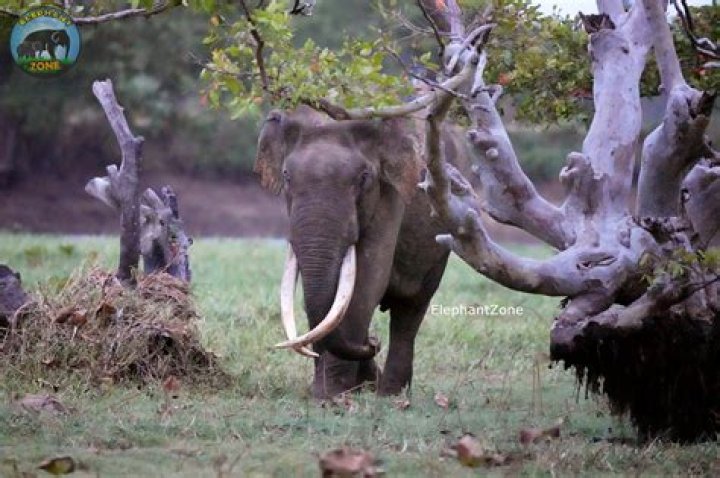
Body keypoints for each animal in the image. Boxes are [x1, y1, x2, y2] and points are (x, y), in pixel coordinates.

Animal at [256, 107, 474, 398]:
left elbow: (369, 278)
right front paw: (328, 391)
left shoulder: (390, 194)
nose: (373, 342)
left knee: (410, 309)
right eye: (287, 176)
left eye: (363, 178)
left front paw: (331, 395)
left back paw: (390, 393)